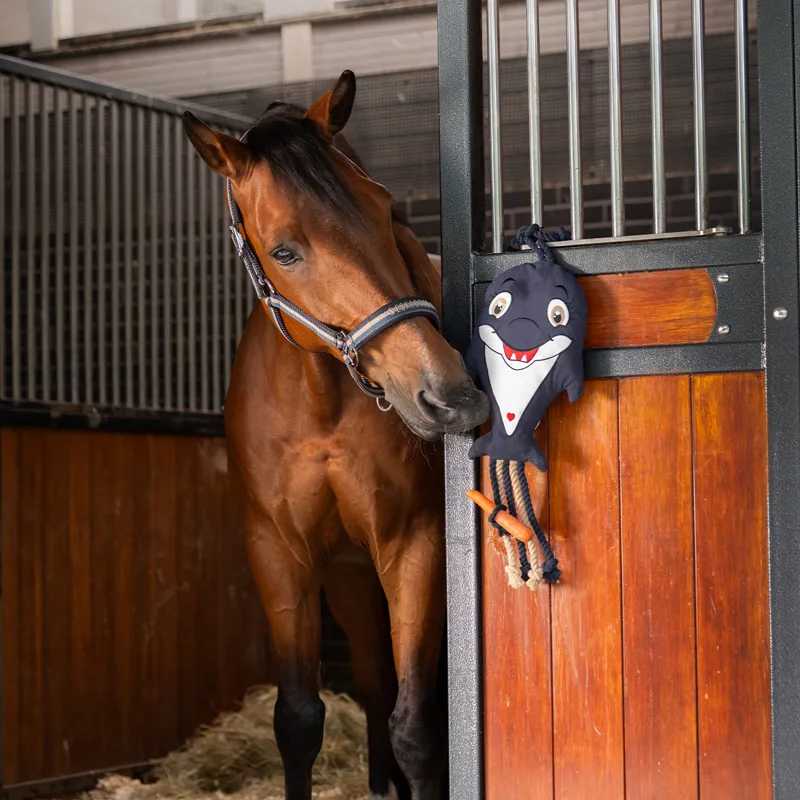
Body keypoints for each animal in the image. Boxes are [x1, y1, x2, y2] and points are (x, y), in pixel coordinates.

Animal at [182, 70, 489, 800]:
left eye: (384, 209)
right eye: (285, 250)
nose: (449, 394)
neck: (320, 405)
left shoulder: (414, 545)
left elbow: (417, 727)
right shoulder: (278, 553)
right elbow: (297, 720)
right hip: (348, 576)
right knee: (374, 684)